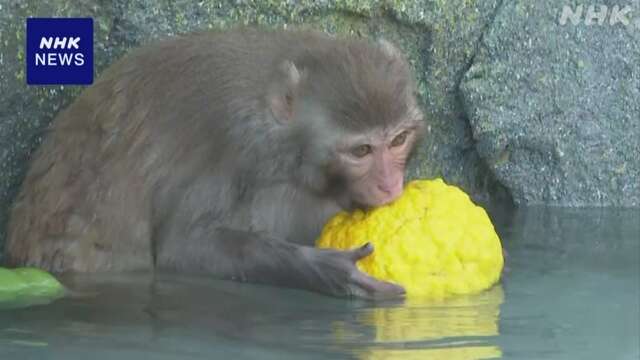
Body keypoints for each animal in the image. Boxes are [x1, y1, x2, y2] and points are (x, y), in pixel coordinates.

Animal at [6, 27, 424, 298]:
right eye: (361, 151)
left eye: (398, 139)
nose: (390, 184)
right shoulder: (231, 147)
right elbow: (182, 247)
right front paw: (326, 269)